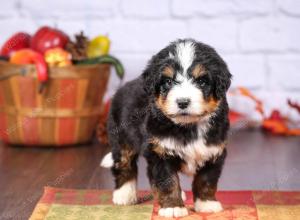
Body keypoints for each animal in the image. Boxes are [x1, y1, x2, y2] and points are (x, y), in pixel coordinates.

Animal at [101, 38, 232, 217]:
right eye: (168, 81)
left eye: (201, 82)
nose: (183, 102)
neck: (188, 126)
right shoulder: (159, 152)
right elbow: (167, 181)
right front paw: (173, 206)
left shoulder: (213, 151)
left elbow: (206, 179)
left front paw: (207, 203)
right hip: (121, 138)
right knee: (124, 165)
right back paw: (124, 194)